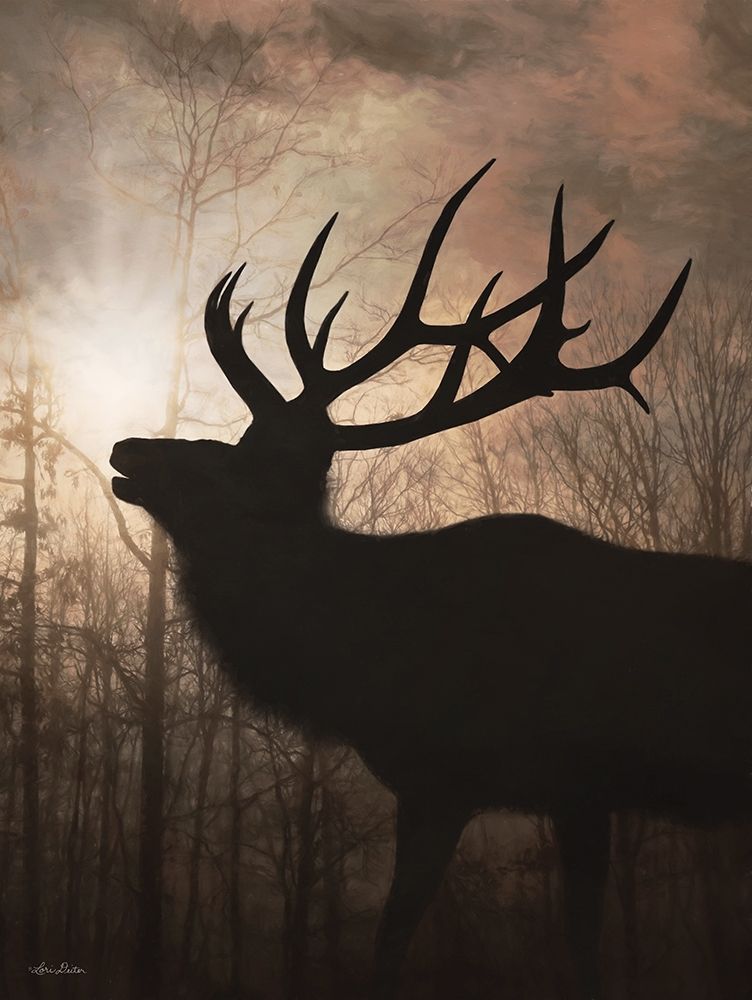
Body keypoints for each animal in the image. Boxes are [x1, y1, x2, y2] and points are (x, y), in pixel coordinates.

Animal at [110, 159, 752, 999]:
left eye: (233, 464)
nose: (127, 448)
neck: (373, 669)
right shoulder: (444, 786)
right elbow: (398, 939)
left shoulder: (556, 777)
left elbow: (552, 947)